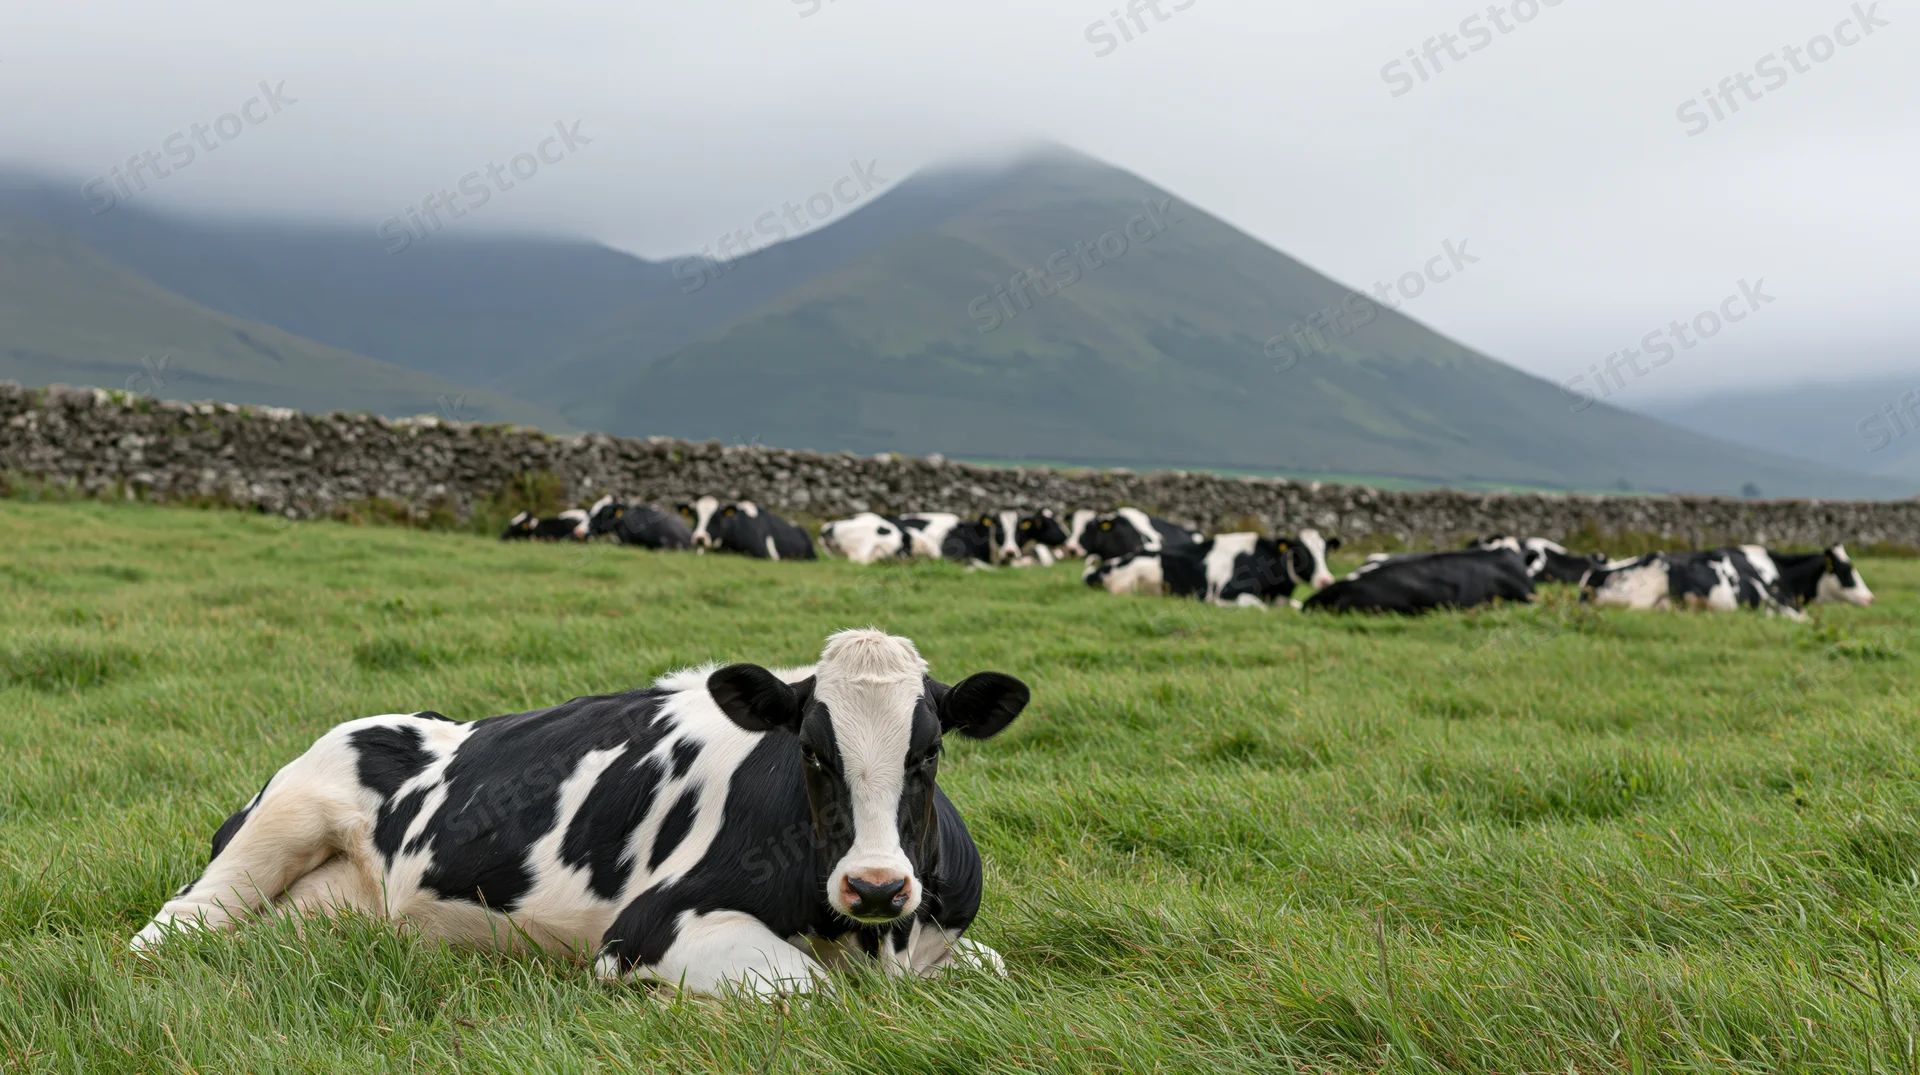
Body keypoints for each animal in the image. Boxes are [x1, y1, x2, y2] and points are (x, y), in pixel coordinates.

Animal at [131, 630, 1028, 997]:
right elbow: (804, 986)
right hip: (279, 824)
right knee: (171, 927)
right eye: (811, 748)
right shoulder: (649, 923)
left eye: (928, 752)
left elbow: (995, 966)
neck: (876, 942)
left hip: (323, 913)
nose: (875, 885)